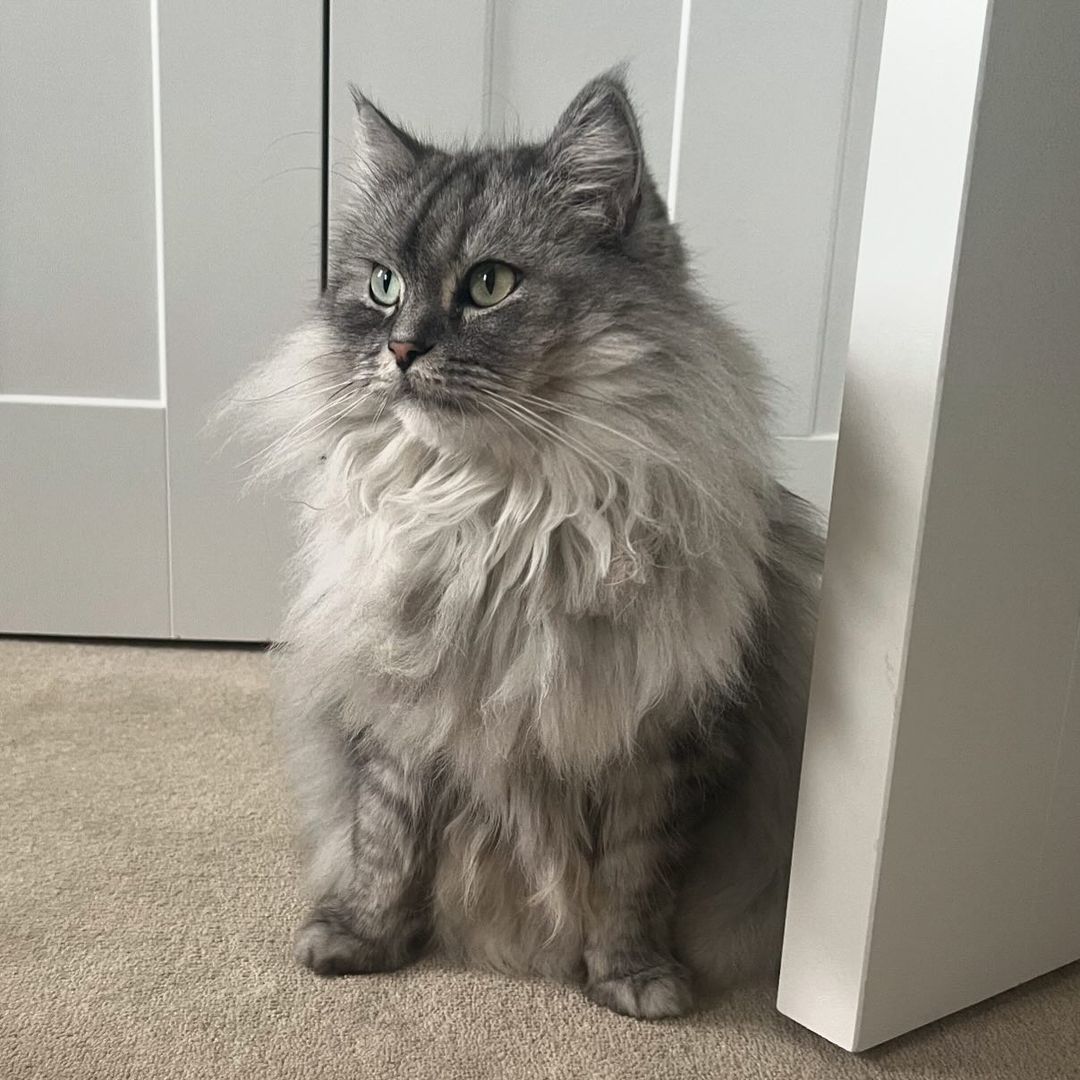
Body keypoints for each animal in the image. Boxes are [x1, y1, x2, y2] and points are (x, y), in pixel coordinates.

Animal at [225, 71, 816, 1015]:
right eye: (383, 285)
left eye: (490, 284)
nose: (399, 349)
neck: (498, 521)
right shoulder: (401, 715)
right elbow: (384, 843)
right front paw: (361, 940)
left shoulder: (663, 741)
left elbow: (634, 878)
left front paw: (634, 979)